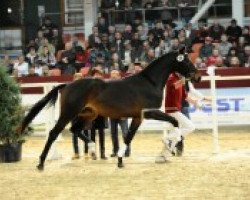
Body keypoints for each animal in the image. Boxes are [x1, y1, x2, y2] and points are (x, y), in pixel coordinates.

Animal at [19, 48, 201, 170]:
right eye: (185, 60)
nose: (197, 76)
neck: (149, 82)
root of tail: (67, 84)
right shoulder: (148, 113)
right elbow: (174, 122)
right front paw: (168, 147)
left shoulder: (137, 117)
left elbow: (128, 137)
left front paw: (120, 160)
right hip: (69, 113)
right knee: (54, 133)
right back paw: (41, 163)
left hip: (88, 114)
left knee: (75, 130)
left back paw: (92, 149)